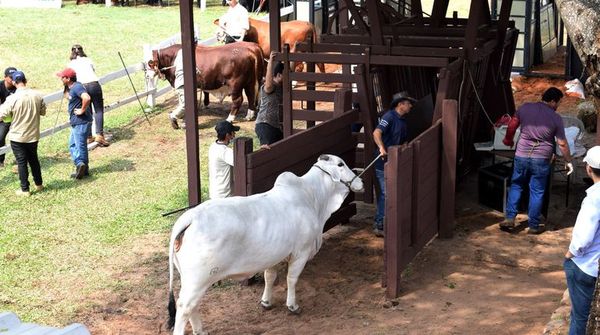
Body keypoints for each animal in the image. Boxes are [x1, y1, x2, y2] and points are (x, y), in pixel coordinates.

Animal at [166, 155, 364, 335]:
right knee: (185, 306)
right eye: (341, 164)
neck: (312, 197)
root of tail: (190, 217)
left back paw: (200, 330)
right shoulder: (301, 252)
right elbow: (292, 279)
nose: (360, 181)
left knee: (192, 306)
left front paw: (266, 302)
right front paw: (292, 305)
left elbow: (270, 277)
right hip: (198, 280)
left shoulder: (273, 256)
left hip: (191, 279)